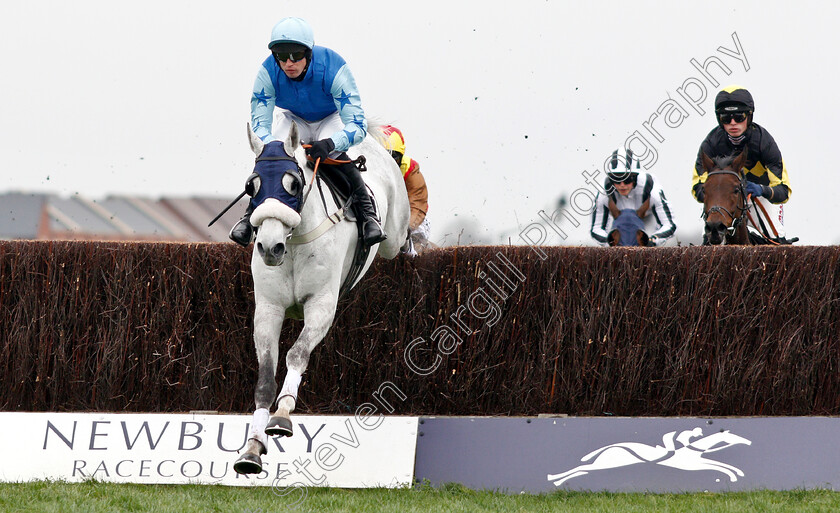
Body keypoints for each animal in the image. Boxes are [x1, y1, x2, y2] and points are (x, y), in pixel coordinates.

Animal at [233, 123, 410, 472]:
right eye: (252, 186)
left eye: (293, 183)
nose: (270, 247)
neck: (293, 243)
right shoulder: (269, 310)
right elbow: (265, 377)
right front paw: (252, 448)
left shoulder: (321, 306)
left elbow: (297, 354)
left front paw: (281, 416)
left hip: (393, 235)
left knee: (402, 238)